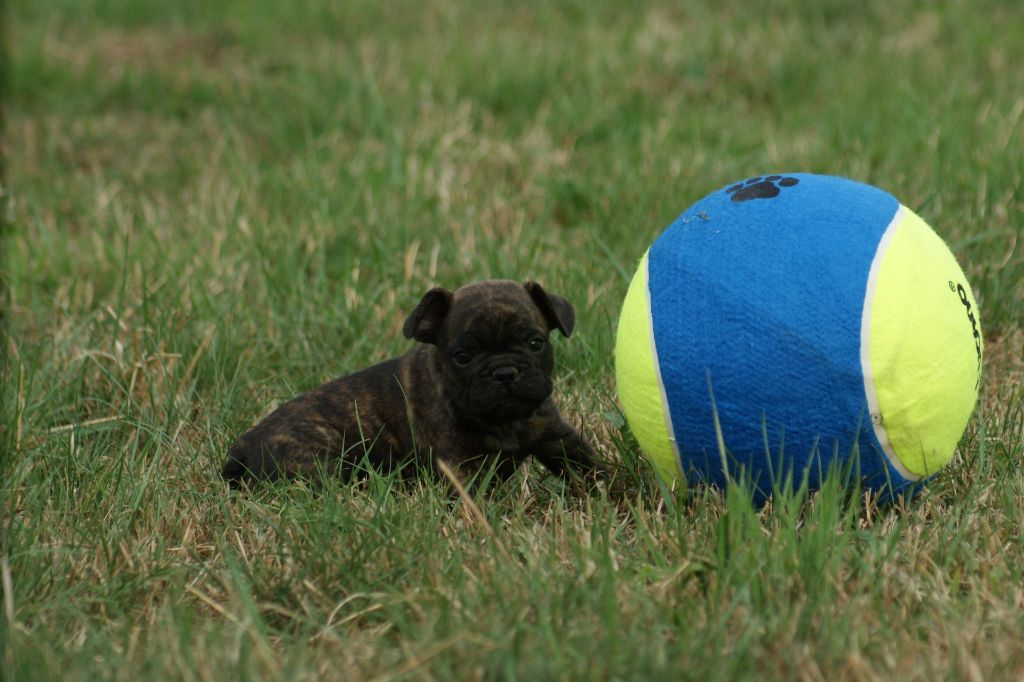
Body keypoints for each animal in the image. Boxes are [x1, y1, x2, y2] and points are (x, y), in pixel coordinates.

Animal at [217, 278, 598, 485]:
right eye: (463, 356)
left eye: (535, 343)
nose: (504, 372)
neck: (505, 422)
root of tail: (242, 447)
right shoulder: (460, 465)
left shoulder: (555, 436)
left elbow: (589, 469)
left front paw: (609, 496)